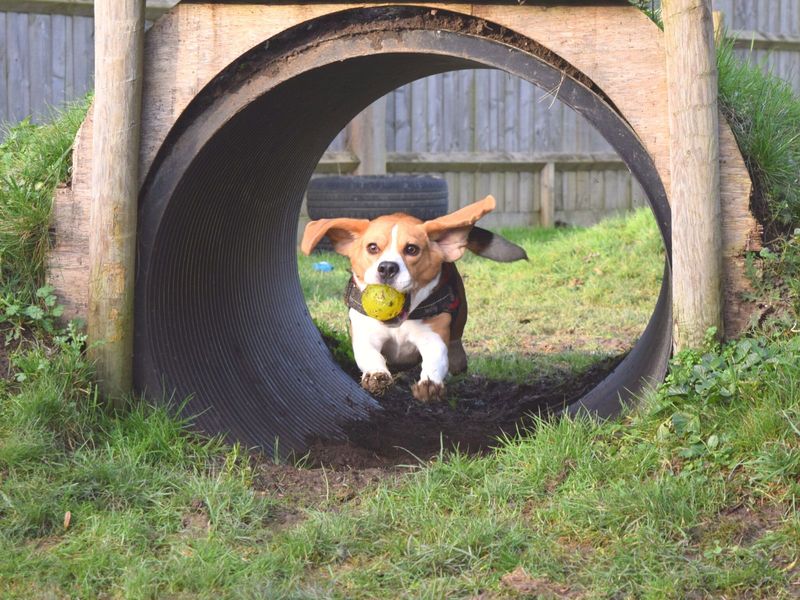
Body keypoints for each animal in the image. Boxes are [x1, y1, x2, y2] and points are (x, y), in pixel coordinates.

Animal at [302, 197, 524, 404]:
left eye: (411, 249)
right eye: (372, 248)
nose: (387, 268)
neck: (399, 324)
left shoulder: (433, 336)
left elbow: (436, 358)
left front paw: (429, 385)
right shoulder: (365, 333)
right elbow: (370, 354)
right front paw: (376, 376)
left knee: (455, 348)